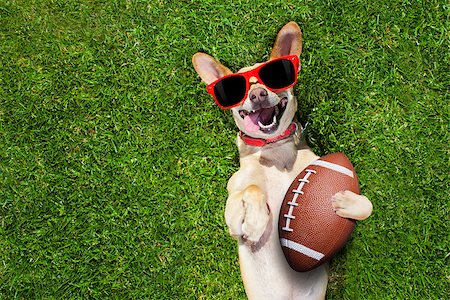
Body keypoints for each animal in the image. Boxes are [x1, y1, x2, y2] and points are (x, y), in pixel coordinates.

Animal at [192, 21, 370, 300]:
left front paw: (347, 201)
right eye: (240, 89)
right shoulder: (232, 216)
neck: (275, 150)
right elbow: (252, 189)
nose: (258, 94)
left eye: (272, 78)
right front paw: (256, 223)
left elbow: (368, 205)